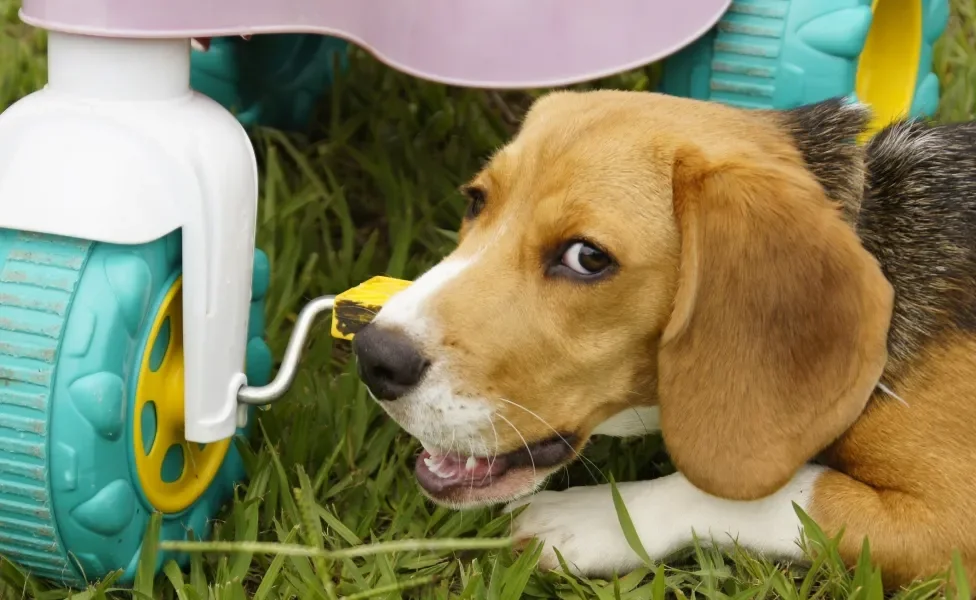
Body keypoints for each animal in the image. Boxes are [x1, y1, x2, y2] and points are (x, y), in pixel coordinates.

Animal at [348, 91, 976, 588]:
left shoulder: (950, 524)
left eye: (587, 257)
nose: (373, 358)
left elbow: (781, 490)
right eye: (476, 200)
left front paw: (587, 519)